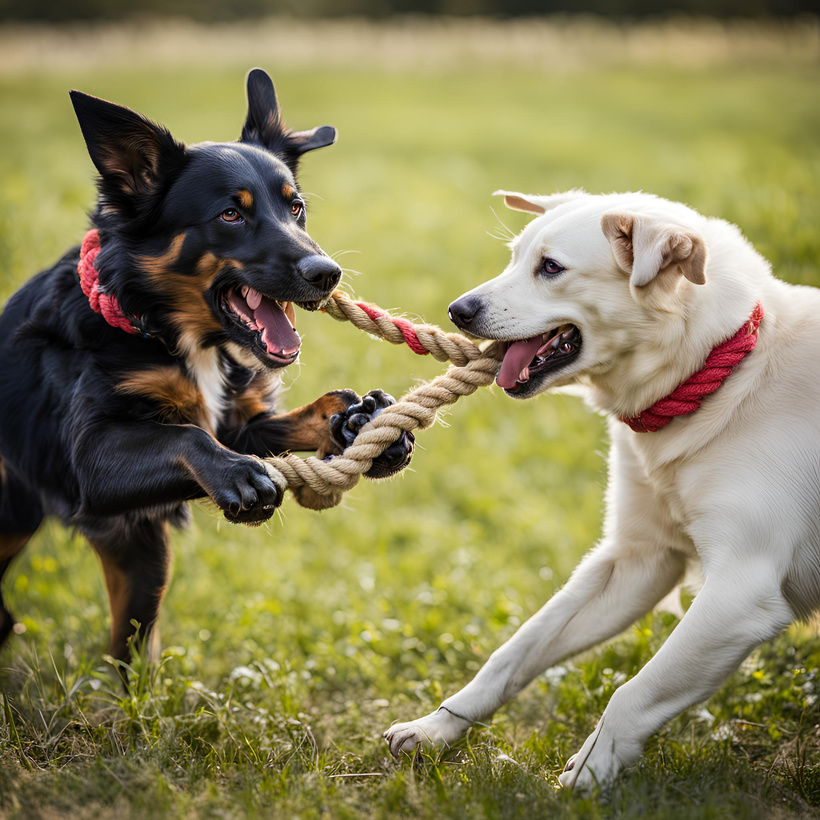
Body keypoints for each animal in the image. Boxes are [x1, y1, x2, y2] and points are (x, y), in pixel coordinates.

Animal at [0, 70, 410, 668]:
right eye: (230, 214)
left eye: (296, 207)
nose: (327, 273)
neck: (169, 331)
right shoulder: (89, 459)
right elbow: (186, 435)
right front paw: (237, 475)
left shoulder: (239, 422)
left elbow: (307, 411)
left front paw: (360, 420)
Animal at [382, 189, 820, 792]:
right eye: (515, 257)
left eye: (550, 268)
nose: (457, 311)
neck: (726, 374)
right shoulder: (638, 558)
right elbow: (513, 652)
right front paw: (436, 729)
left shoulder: (742, 591)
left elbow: (632, 694)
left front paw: (591, 770)